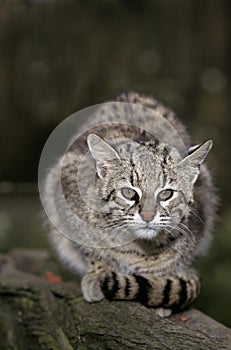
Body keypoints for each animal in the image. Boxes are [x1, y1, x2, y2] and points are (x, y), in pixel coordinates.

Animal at [42, 91, 217, 316]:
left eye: (166, 193)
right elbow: (90, 247)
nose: (148, 216)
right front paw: (99, 271)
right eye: (128, 192)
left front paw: (159, 282)